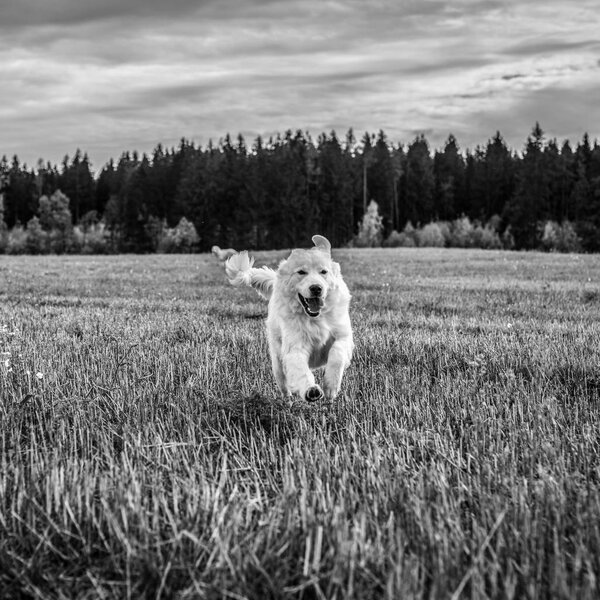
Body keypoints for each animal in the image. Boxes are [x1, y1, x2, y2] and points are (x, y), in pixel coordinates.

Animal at [227, 237, 354, 400]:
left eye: (323, 272)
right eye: (301, 272)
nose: (316, 288)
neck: (315, 318)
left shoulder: (343, 336)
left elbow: (337, 354)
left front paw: (331, 386)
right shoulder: (294, 348)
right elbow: (300, 370)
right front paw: (311, 390)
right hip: (277, 360)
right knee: (283, 383)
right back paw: (287, 400)